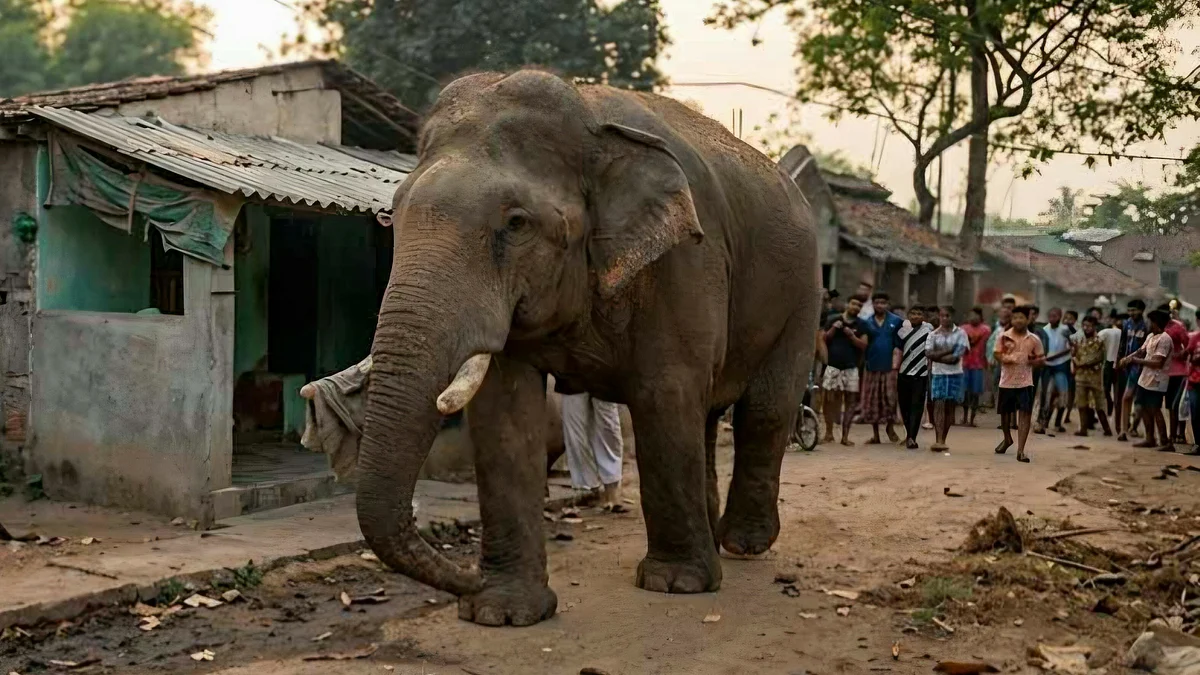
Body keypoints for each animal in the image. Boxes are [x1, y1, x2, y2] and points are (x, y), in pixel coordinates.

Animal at [360, 69, 820, 627]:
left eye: (516, 223)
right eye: (393, 215)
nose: (466, 578)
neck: (589, 117)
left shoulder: (688, 259)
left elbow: (665, 394)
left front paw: (676, 585)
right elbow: (503, 413)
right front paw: (502, 612)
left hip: (802, 292)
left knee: (764, 409)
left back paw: (743, 545)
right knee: (709, 415)